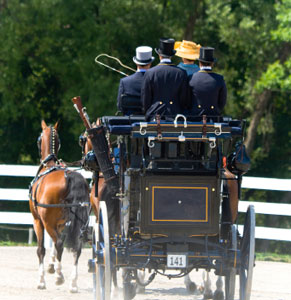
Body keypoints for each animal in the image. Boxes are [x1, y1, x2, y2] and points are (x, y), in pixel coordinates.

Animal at [29, 120, 90, 292]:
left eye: (39, 138)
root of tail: (69, 177)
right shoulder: (62, 224)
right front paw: (53, 267)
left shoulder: (38, 221)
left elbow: (41, 249)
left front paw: (42, 280)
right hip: (80, 222)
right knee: (77, 247)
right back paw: (73, 283)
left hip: (47, 222)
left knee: (59, 244)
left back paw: (59, 277)